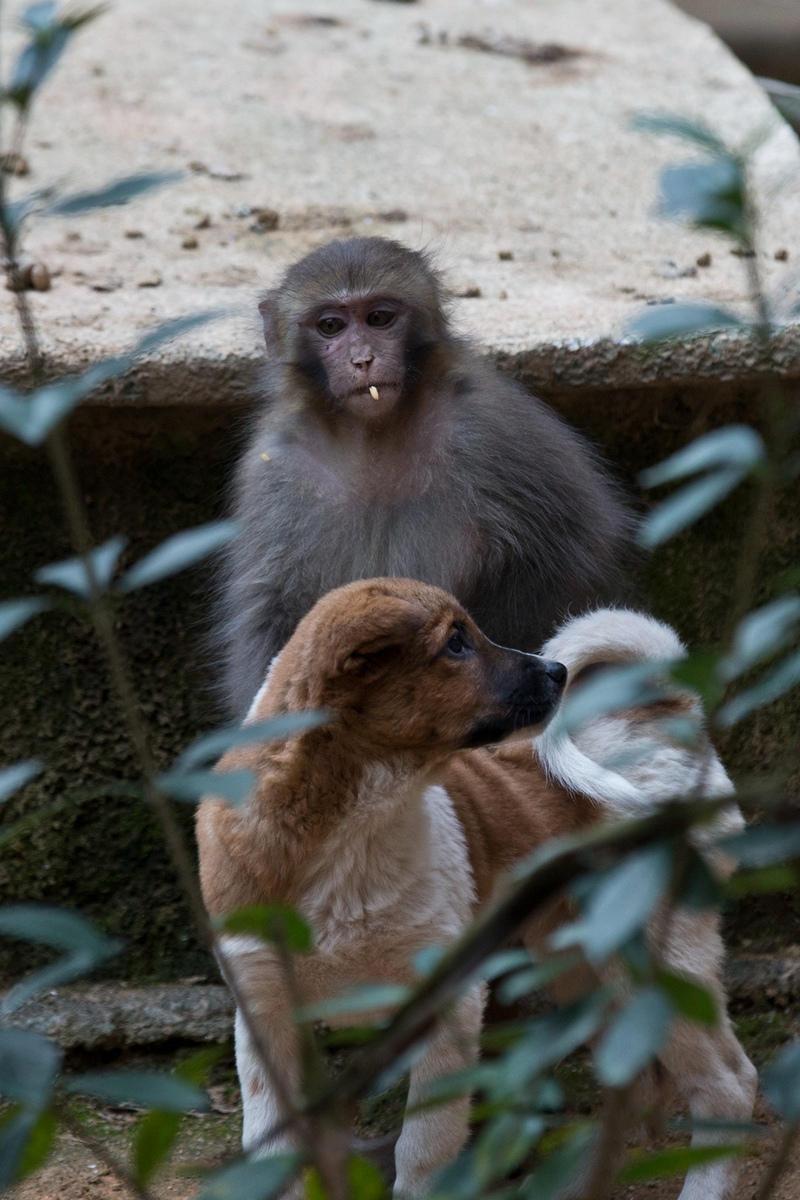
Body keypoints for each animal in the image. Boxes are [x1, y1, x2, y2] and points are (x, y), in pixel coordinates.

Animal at [195, 578, 758, 1200]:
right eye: (455, 644)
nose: (558, 671)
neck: (351, 833)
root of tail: (666, 712)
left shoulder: (448, 1007)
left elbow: (423, 1150)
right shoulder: (265, 1014)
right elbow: (271, 1151)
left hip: (657, 957)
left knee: (730, 1083)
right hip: (578, 960)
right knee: (636, 1081)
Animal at [215, 238, 633, 715]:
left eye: (379, 318)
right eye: (330, 326)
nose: (363, 359)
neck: (374, 437)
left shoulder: (491, 428)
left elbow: (568, 555)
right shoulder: (276, 469)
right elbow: (275, 611)